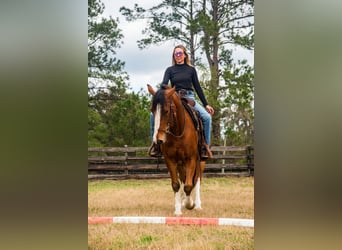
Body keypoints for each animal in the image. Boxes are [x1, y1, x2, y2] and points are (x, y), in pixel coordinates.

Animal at [148, 83, 206, 215]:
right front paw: (178, 210)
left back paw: (198, 205)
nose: (157, 140)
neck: (178, 131)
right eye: (152, 111)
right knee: (184, 179)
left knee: (197, 179)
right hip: (180, 164)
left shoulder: (191, 159)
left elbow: (189, 185)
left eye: (166, 111)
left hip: (199, 161)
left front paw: (190, 204)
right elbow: (176, 185)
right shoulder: (170, 160)